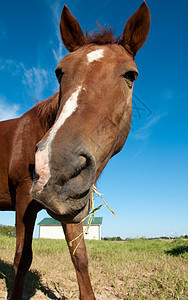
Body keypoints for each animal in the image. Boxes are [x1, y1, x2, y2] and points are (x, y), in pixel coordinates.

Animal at [0, 2, 150, 300]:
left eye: (131, 74)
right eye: (59, 72)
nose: (53, 168)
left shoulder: (72, 202)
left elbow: (79, 256)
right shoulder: (23, 199)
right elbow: (22, 258)